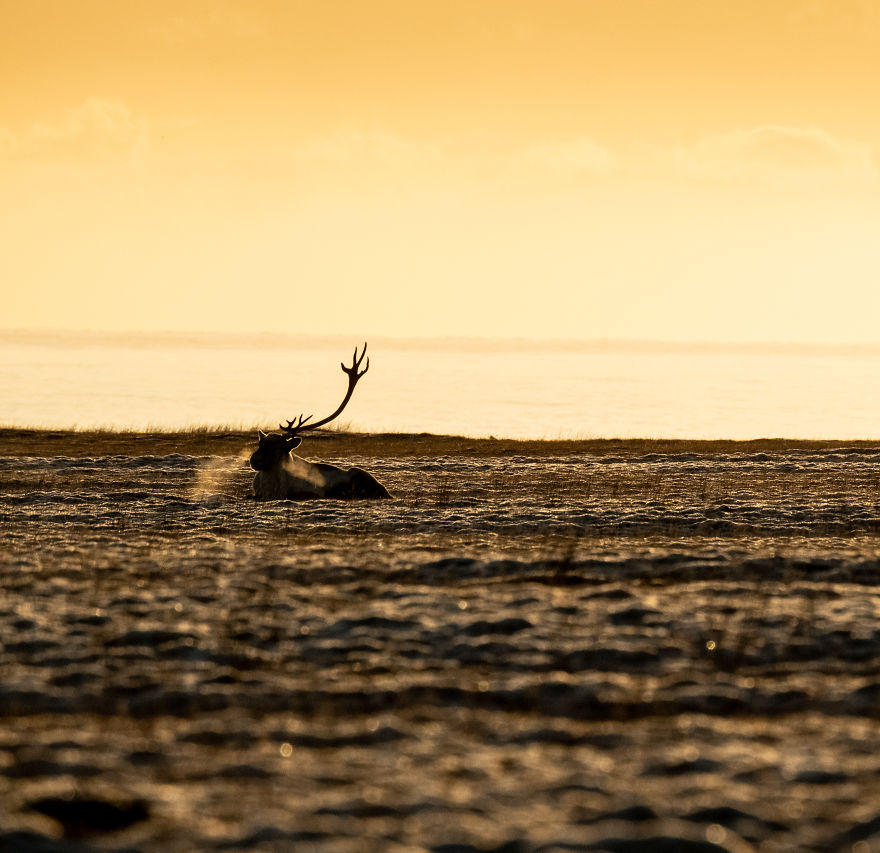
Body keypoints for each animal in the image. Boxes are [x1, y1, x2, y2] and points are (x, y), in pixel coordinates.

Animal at [249, 343, 391, 500]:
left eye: (279, 447)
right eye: (260, 443)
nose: (254, 460)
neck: (271, 488)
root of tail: (387, 492)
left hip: (358, 473)